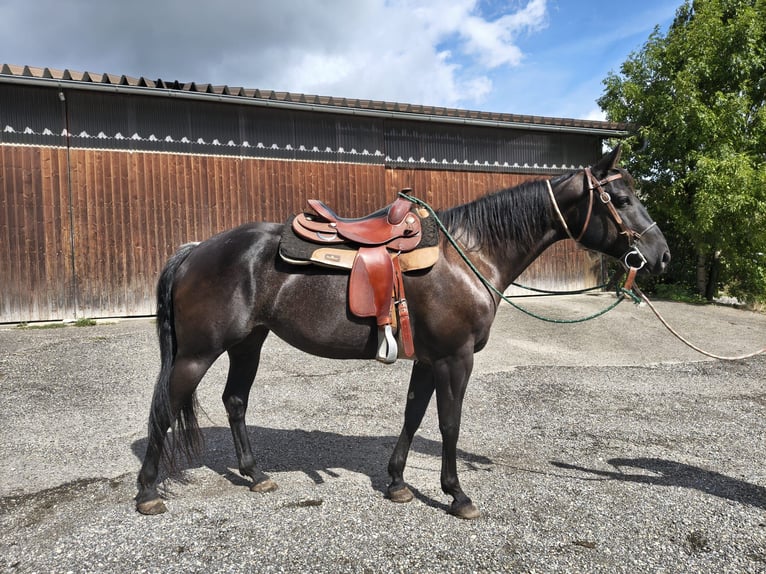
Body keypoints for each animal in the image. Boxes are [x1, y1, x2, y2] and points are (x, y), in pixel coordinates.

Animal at [135, 145, 671, 519]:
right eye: (623, 199)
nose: (662, 255)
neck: (468, 255)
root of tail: (196, 249)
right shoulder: (455, 358)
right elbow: (449, 424)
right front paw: (457, 495)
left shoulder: (429, 359)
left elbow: (413, 416)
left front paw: (397, 484)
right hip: (198, 353)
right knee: (164, 408)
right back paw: (146, 492)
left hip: (249, 343)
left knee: (235, 401)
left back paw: (254, 475)